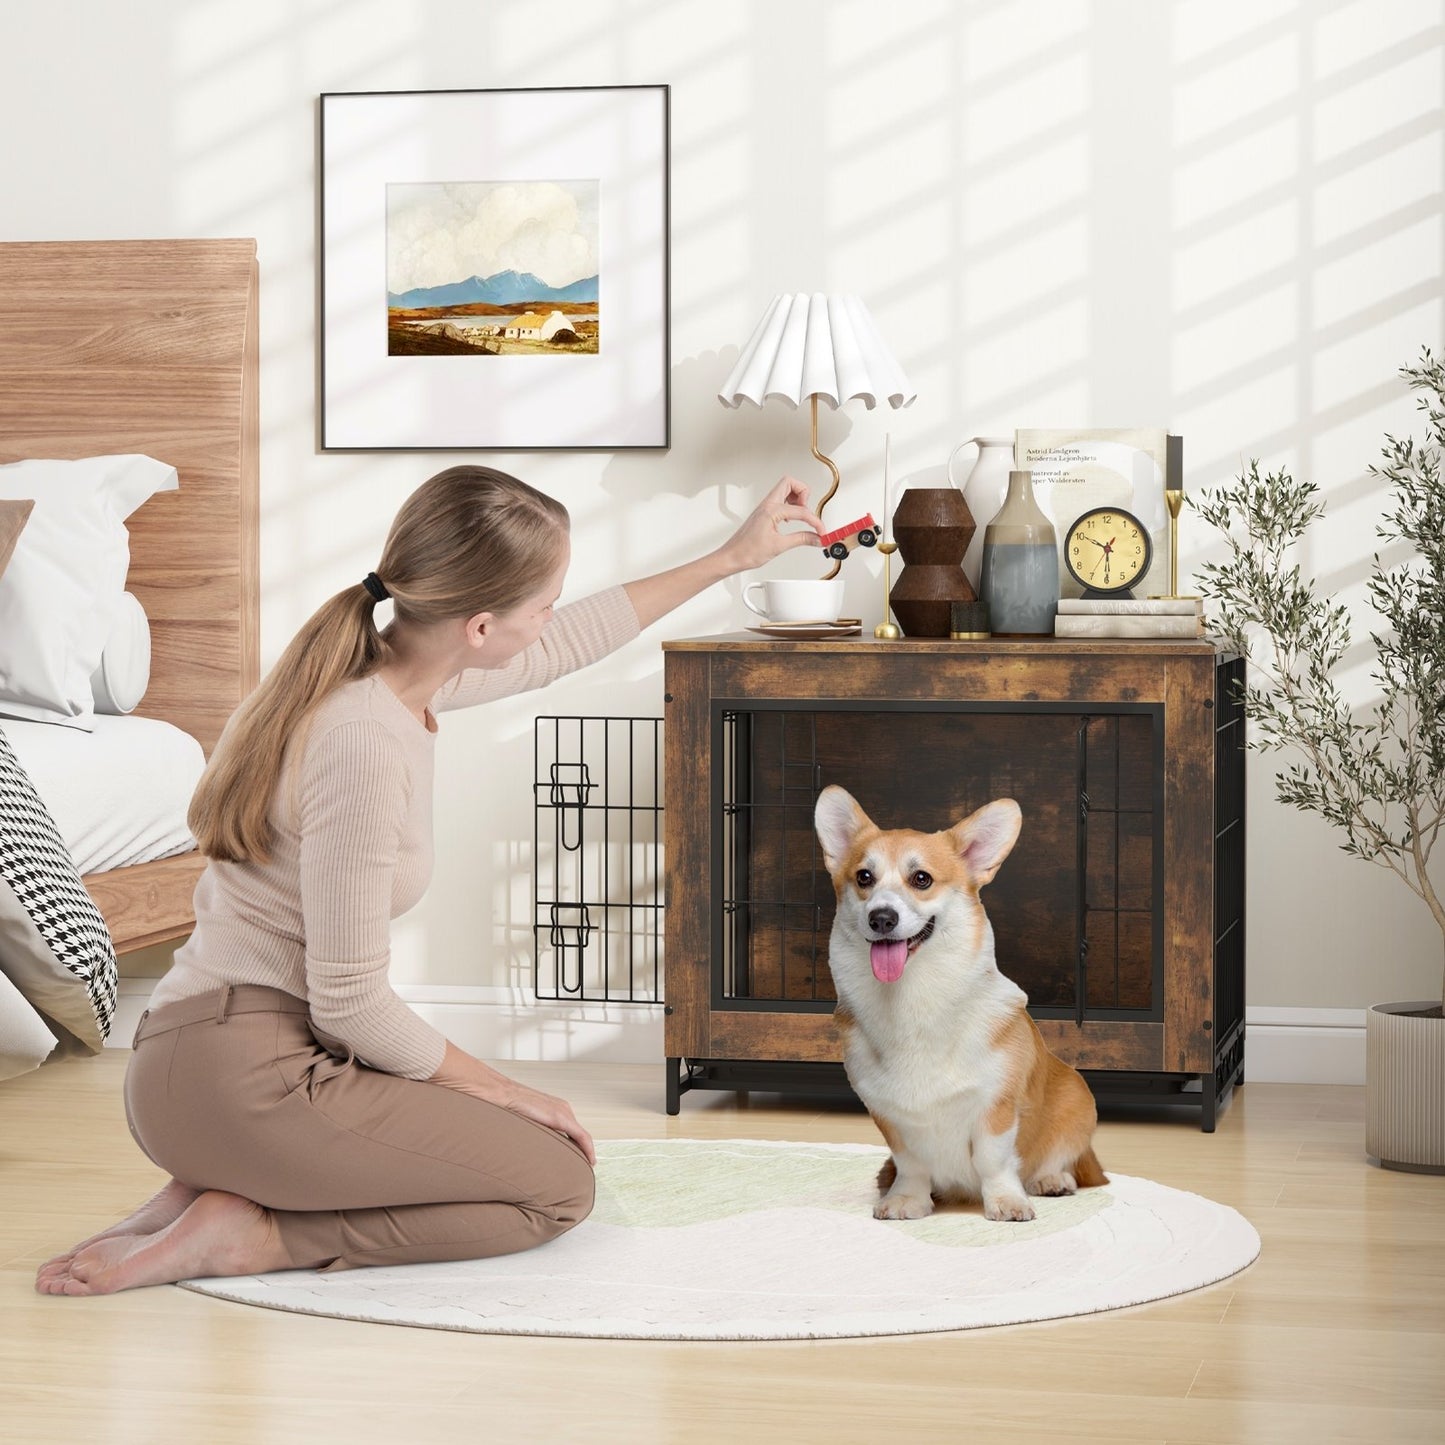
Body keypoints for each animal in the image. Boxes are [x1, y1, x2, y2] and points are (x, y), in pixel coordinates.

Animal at [814, 791, 1103, 1219]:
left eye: (922, 879)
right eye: (864, 877)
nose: (882, 918)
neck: (911, 1000)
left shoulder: (995, 1106)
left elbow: (993, 1160)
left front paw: (1005, 1202)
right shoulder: (890, 1118)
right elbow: (911, 1164)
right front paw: (907, 1200)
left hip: (1078, 1098)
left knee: (1061, 1155)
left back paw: (1051, 1180)